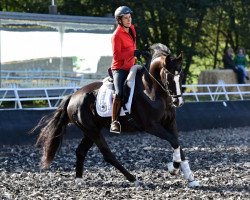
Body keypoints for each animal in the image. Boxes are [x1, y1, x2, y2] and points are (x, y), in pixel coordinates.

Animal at [31, 43, 199, 188]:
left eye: (181, 76)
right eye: (169, 76)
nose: (178, 102)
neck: (152, 90)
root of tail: (72, 96)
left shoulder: (170, 123)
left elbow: (177, 143)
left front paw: (190, 177)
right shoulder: (151, 126)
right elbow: (174, 141)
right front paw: (173, 168)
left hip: (91, 130)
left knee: (80, 151)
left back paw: (79, 180)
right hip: (93, 131)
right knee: (107, 155)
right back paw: (133, 179)